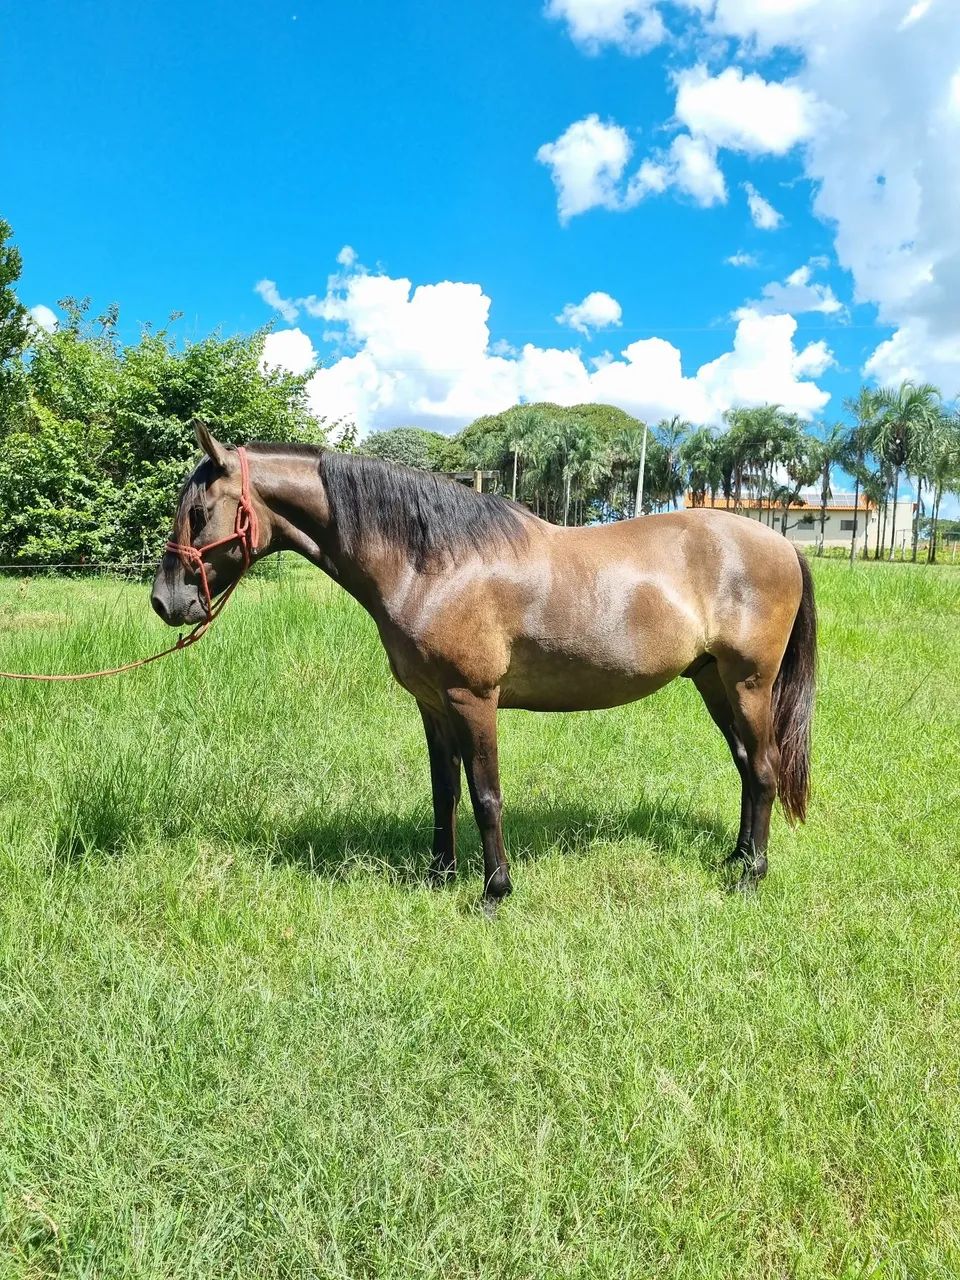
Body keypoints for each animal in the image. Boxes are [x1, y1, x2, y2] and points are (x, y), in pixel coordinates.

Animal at [151, 422, 816, 901]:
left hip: (749, 682)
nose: (165, 601)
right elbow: (444, 790)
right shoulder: (432, 703)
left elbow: (485, 794)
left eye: (199, 513)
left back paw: (750, 876)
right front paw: (439, 876)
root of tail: (781, 544)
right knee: (745, 766)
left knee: (763, 769)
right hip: (712, 681)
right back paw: (736, 857)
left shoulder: (474, 699)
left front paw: (495, 890)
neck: (433, 563)